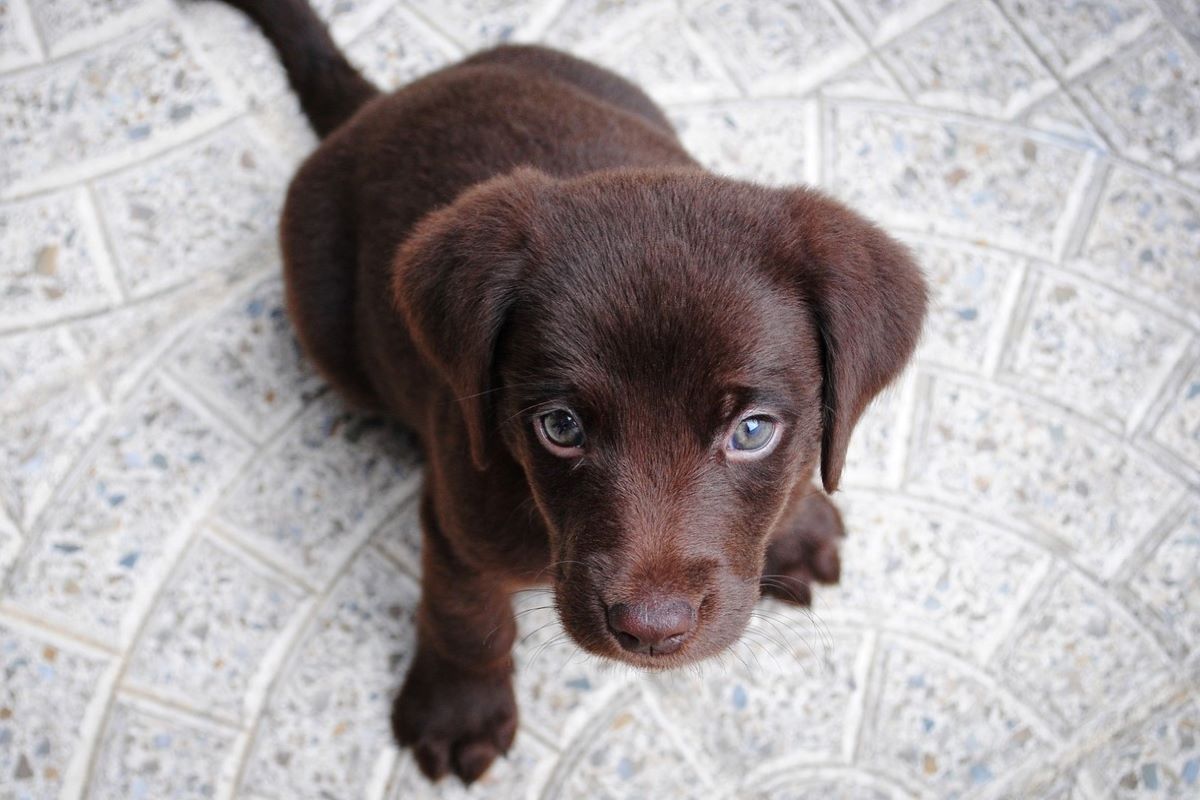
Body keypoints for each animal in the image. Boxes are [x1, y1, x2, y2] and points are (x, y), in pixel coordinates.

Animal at [218, 0, 926, 782]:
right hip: (324, 317)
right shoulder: (459, 514)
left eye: (752, 430)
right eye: (559, 427)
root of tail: (379, 104)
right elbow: (465, 614)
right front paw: (458, 710)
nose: (651, 631)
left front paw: (797, 524)